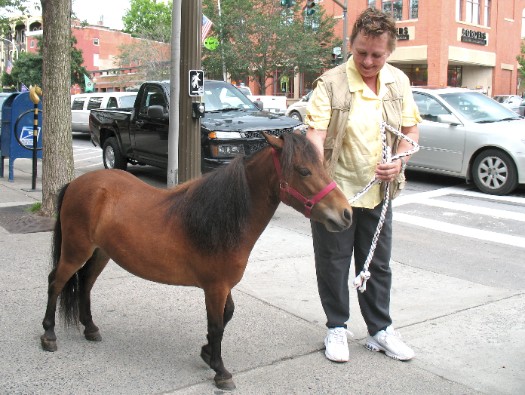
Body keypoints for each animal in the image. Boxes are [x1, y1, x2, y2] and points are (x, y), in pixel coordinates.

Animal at [40, 132, 352, 390]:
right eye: (303, 170)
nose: (346, 214)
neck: (223, 218)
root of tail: (76, 183)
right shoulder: (215, 287)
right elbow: (216, 325)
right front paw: (220, 371)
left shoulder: (223, 286)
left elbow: (227, 315)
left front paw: (206, 353)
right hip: (76, 251)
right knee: (56, 282)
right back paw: (49, 335)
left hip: (100, 253)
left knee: (85, 284)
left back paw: (90, 328)